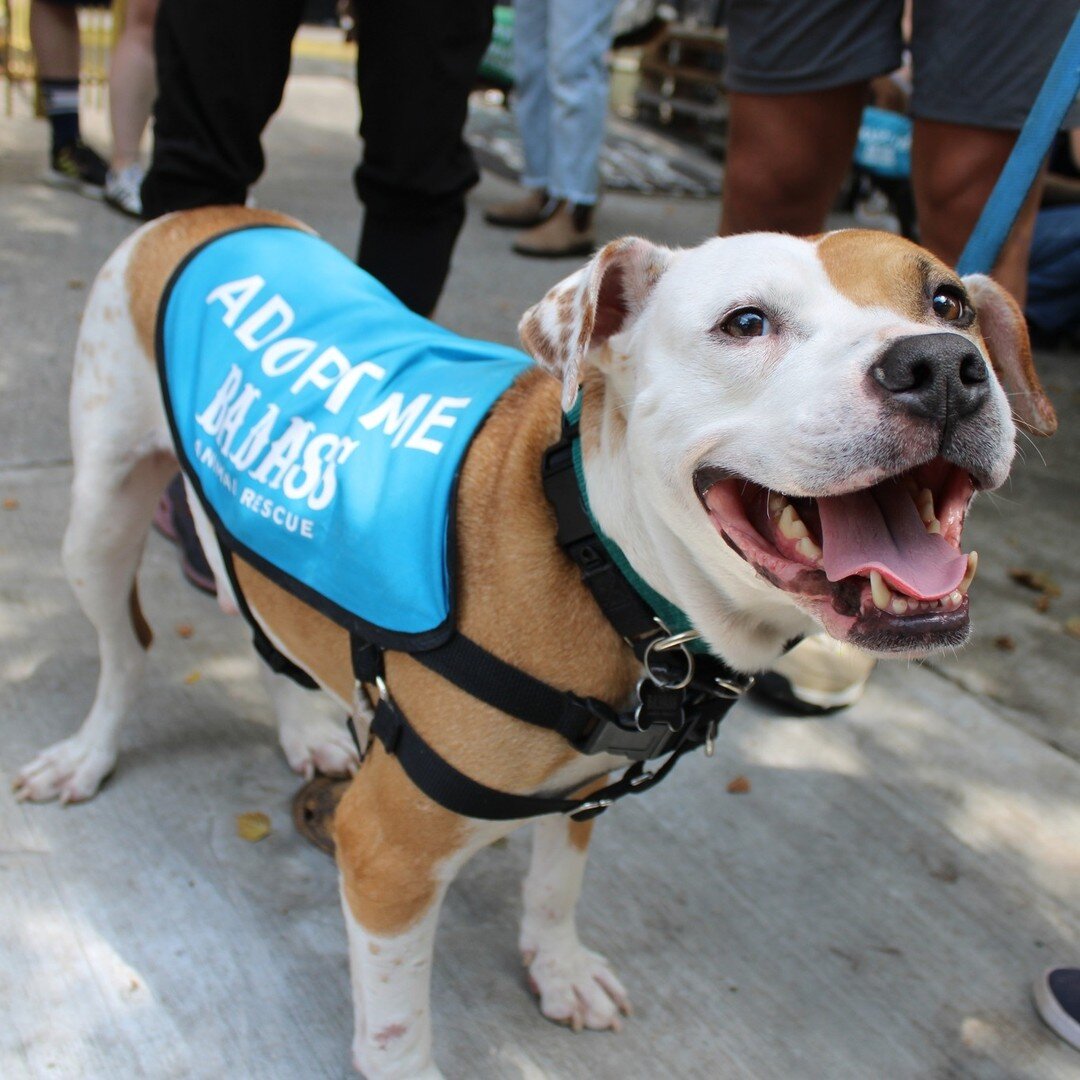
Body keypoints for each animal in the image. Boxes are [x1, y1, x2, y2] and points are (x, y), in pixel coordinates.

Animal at [10, 208, 1054, 1080]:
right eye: (746, 323)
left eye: (948, 301)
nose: (942, 364)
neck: (595, 551)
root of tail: (201, 215)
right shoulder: (385, 856)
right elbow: (396, 1031)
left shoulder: (588, 790)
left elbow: (556, 885)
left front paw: (557, 968)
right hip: (97, 522)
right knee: (125, 652)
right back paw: (86, 756)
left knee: (268, 624)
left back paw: (305, 727)